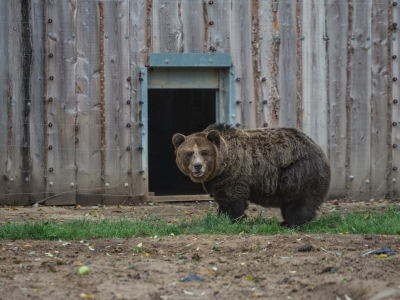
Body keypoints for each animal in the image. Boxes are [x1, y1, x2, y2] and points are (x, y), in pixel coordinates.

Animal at [172, 123, 332, 226]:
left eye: (204, 152)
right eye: (189, 153)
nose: (198, 166)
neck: (223, 165)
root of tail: (318, 148)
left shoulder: (234, 174)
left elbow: (231, 200)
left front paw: (227, 219)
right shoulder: (216, 180)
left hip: (300, 172)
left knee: (301, 201)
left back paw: (292, 223)